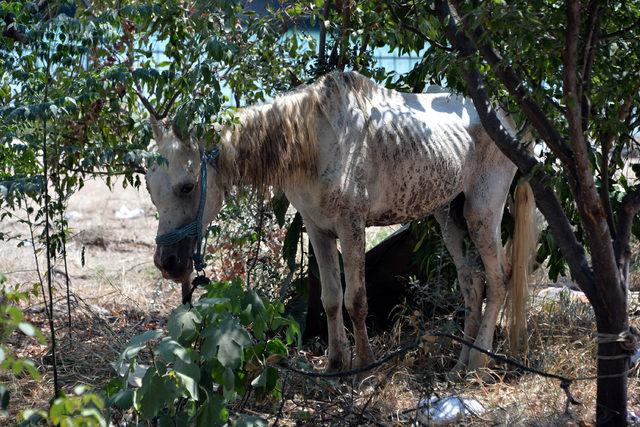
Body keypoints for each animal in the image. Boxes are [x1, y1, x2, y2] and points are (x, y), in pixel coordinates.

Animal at [145, 72, 536, 372]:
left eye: (187, 186)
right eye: (150, 188)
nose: (168, 263)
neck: (314, 142)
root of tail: (509, 124)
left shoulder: (352, 227)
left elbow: (356, 300)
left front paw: (363, 365)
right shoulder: (317, 229)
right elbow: (332, 298)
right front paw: (335, 365)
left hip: (481, 213)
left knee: (499, 278)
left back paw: (478, 364)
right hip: (448, 215)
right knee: (472, 283)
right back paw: (461, 361)